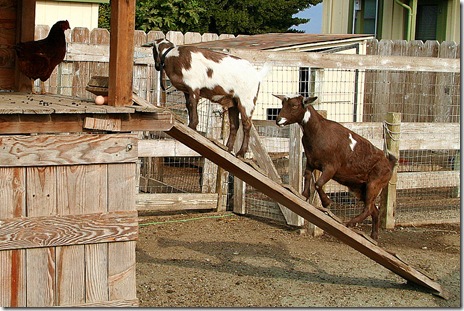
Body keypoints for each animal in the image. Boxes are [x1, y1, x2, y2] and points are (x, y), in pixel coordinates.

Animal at [274, 94, 396, 240]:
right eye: (282, 104)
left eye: (294, 105)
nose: (278, 120)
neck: (318, 130)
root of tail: (389, 163)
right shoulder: (311, 161)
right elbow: (307, 175)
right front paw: (304, 195)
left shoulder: (331, 167)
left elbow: (318, 184)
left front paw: (327, 202)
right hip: (361, 188)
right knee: (374, 209)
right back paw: (374, 235)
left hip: (375, 184)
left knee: (368, 208)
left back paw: (350, 223)